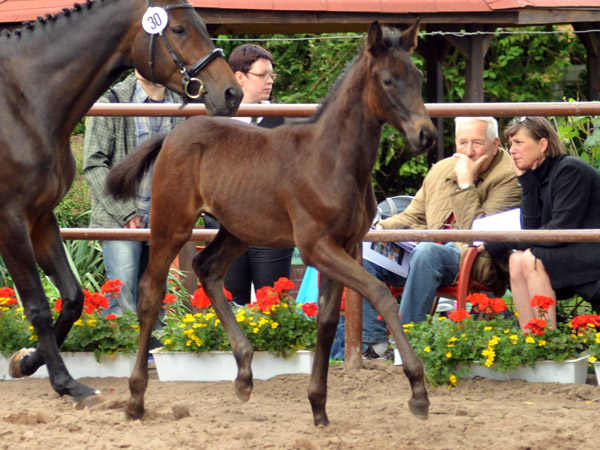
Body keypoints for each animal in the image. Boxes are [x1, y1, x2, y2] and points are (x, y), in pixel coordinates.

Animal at [2, 0, 241, 408]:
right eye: (179, 29)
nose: (231, 93)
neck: (24, 101)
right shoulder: (11, 222)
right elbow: (37, 306)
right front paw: (69, 385)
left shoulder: (40, 218)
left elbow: (72, 297)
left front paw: (26, 361)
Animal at [109, 20, 436, 422]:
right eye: (388, 80)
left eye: (418, 77)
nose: (426, 135)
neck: (332, 160)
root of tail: (171, 136)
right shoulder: (315, 247)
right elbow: (381, 295)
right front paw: (418, 392)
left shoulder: (342, 245)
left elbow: (327, 322)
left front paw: (319, 407)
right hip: (172, 224)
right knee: (152, 294)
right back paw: (135, 399)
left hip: (238, 230)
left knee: (207, 268)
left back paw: (244, 374)